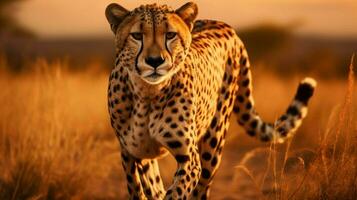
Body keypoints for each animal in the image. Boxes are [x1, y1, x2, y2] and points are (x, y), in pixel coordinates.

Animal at [105, 1, 314, 200]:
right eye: (137, 36)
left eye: (170, 35)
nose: (155, 61)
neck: (147, 93)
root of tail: (226, 26)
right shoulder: (132, 153)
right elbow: (141, 189)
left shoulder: (189, 159)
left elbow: (176, 192)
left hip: (214, 142)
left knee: (202, 188)